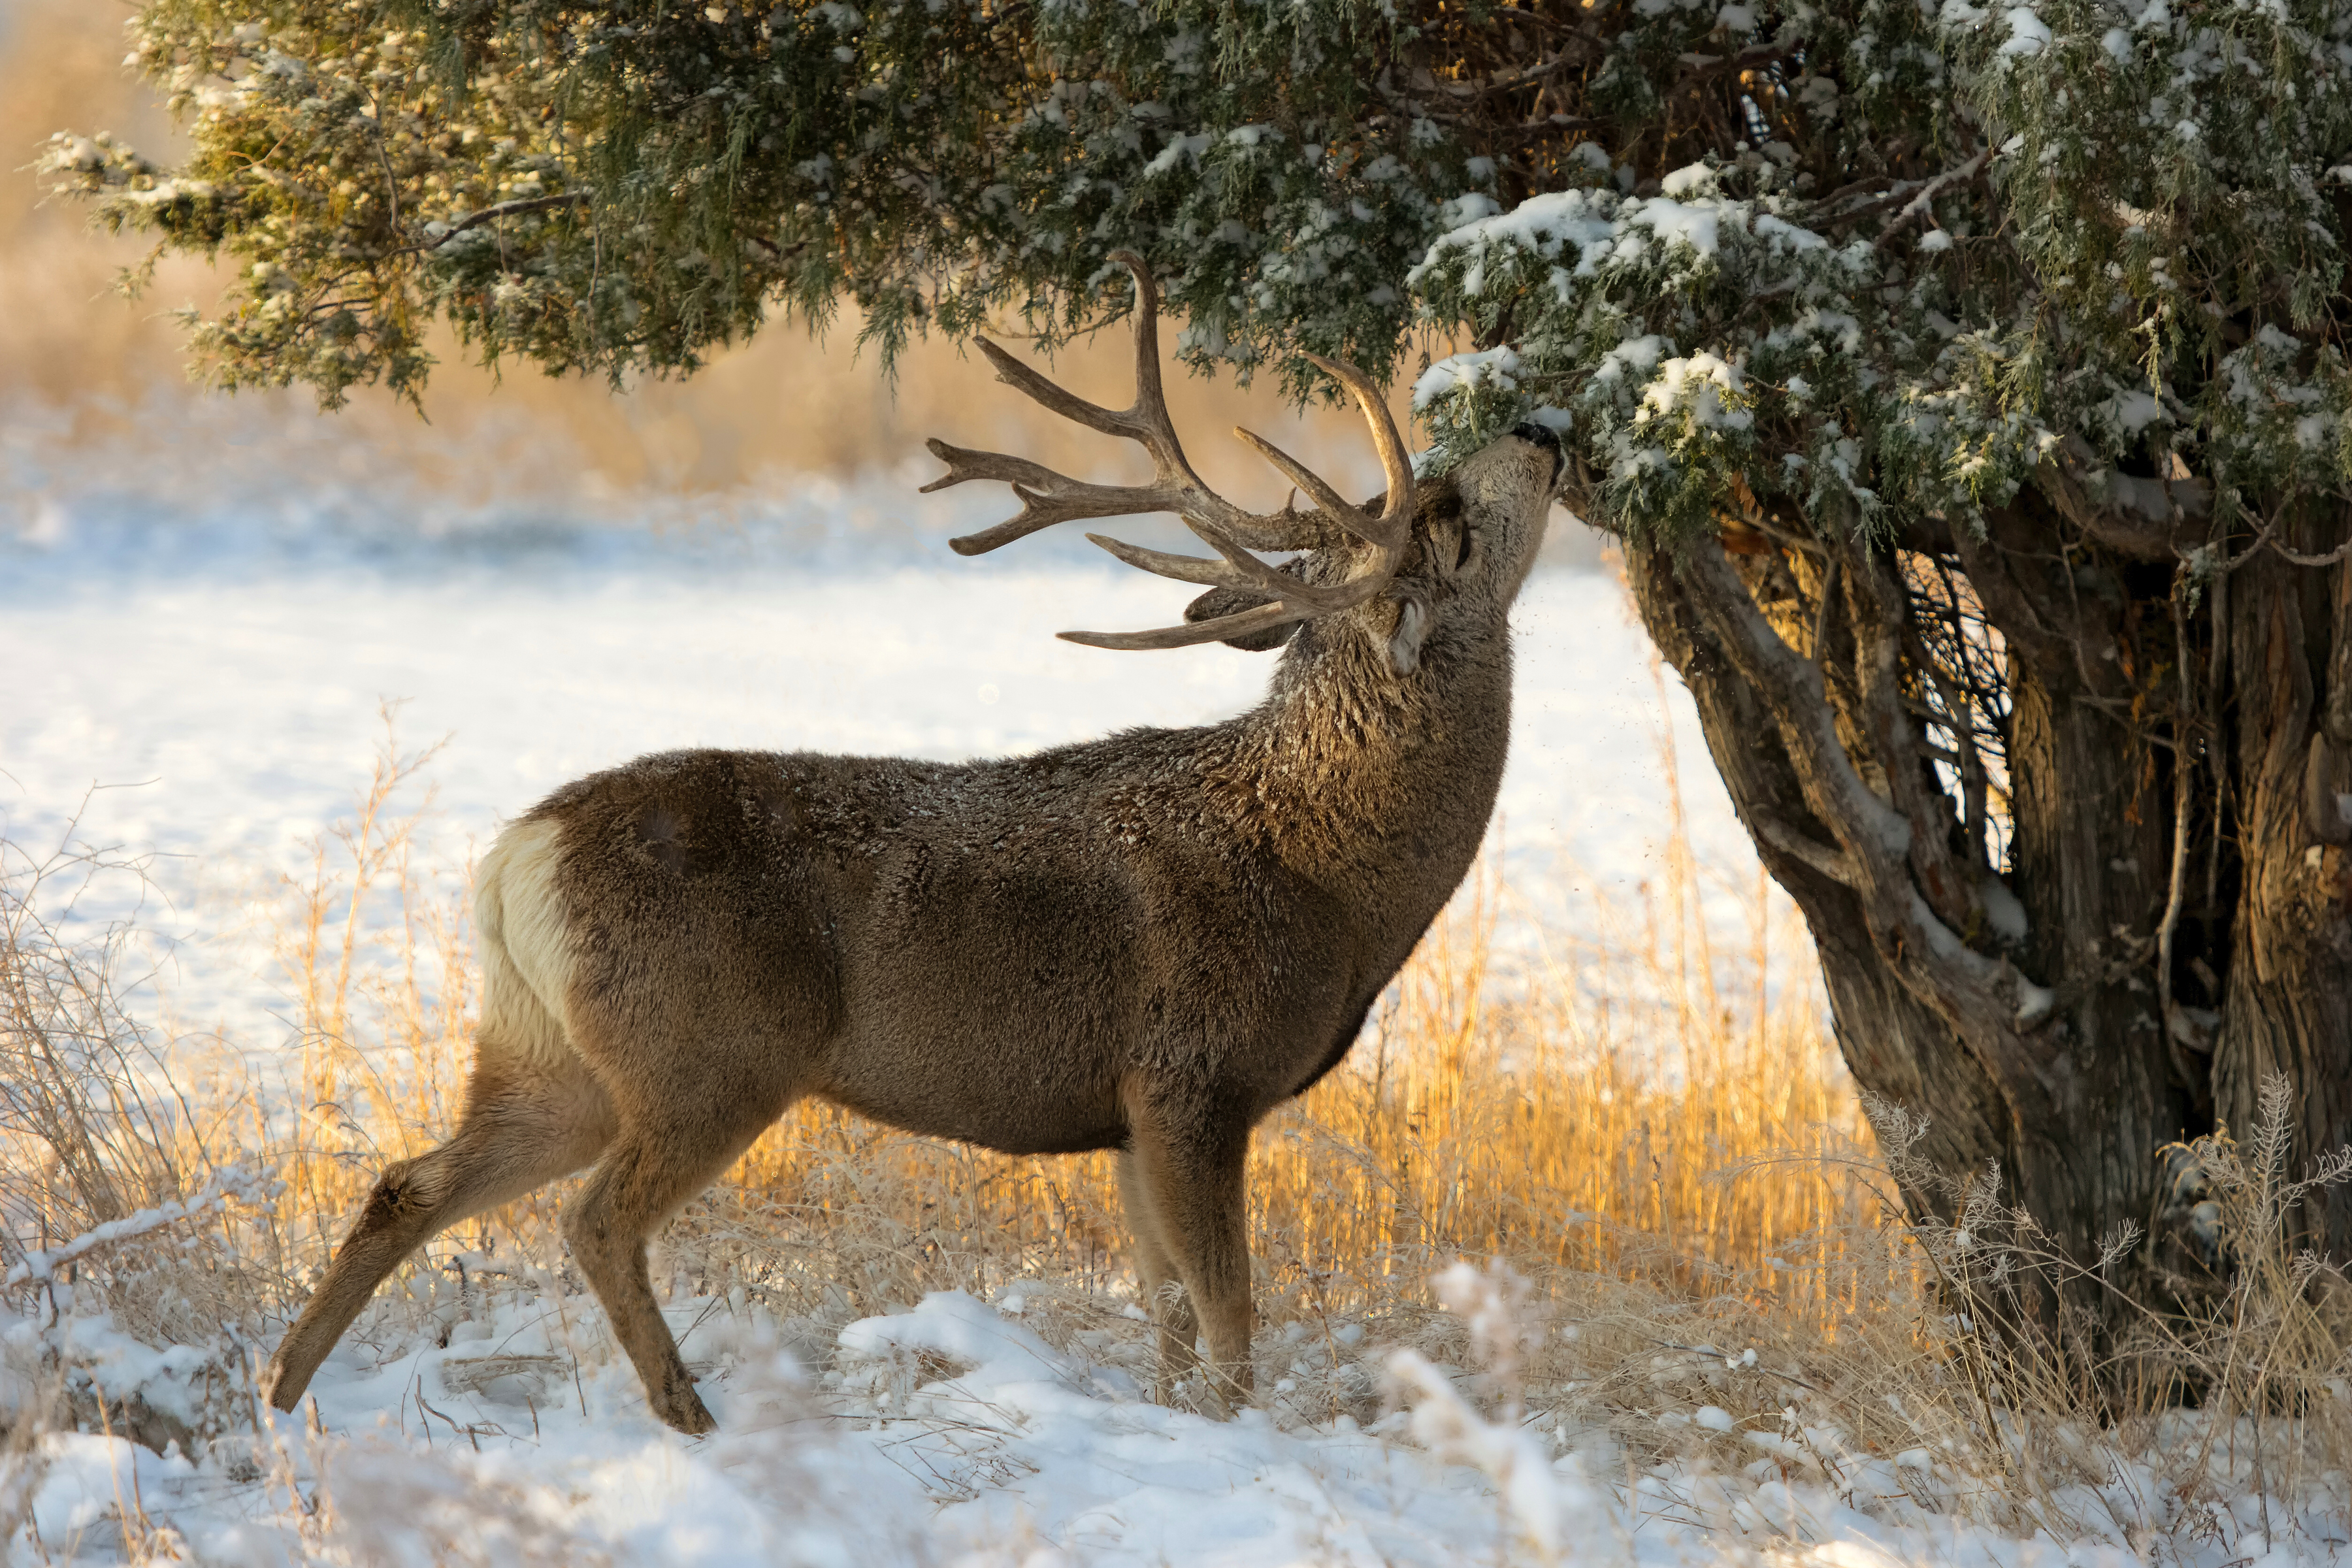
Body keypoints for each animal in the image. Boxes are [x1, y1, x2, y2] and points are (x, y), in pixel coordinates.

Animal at [257, 255, 1561, 1439]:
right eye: (1445, 521)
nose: (1542, 425)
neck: (1327, 874)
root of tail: (518, 856)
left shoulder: (1128, 1113)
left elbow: (1170, 1323)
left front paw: (1173, 1422)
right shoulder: (1194, 1075)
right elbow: (1231, 1319)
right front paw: (1242, 1443)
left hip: (550, 1053)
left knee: (409, 1182)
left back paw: (282, 1398)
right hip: (713, 1050)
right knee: (593, 1218)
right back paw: (689, 1416)